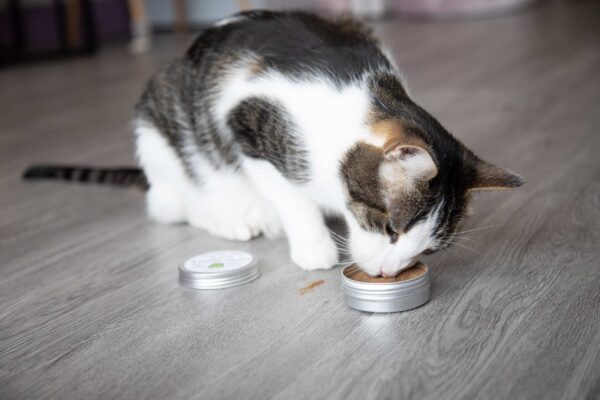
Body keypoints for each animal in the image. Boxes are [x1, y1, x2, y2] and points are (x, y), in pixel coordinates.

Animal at [24, 10, 520, 276]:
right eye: (390, 229)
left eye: (428, 249)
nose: (386, 272)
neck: (368, 93)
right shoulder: (245, 123)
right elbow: (290, 194)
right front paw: (313, 243)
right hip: (159, 128)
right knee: (172, 204)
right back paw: (236, 216)